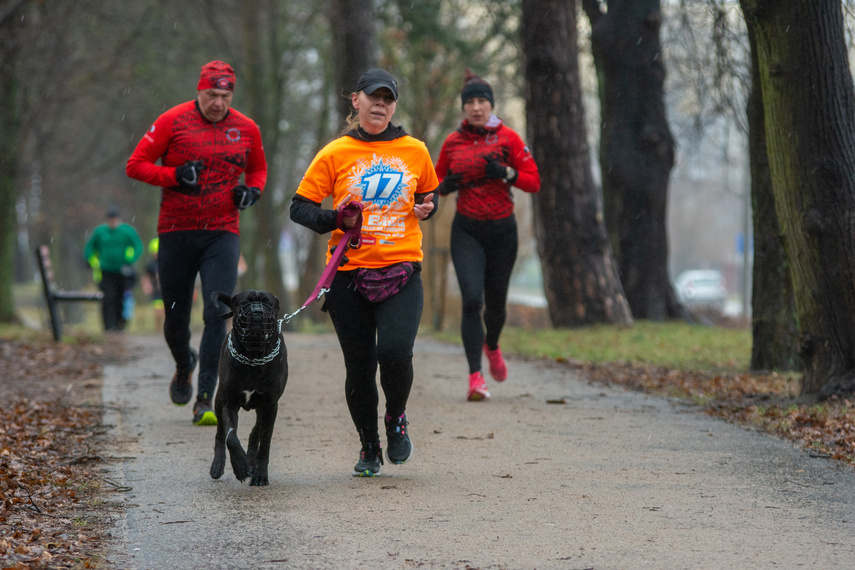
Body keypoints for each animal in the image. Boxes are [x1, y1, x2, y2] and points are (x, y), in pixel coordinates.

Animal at [209, 288, 290, 484]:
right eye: (245, 302)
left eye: (268, 303)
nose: (257, 312)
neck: (254, 357)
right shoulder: (229, 403)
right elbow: (231, 437)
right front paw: (240, 466)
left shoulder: (270, 405)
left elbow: (265, 442)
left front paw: (259, 474)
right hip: (219, 399)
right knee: (220, 434)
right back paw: (218, 465)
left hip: (263, 407)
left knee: (256, 431)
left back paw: (251, 461)